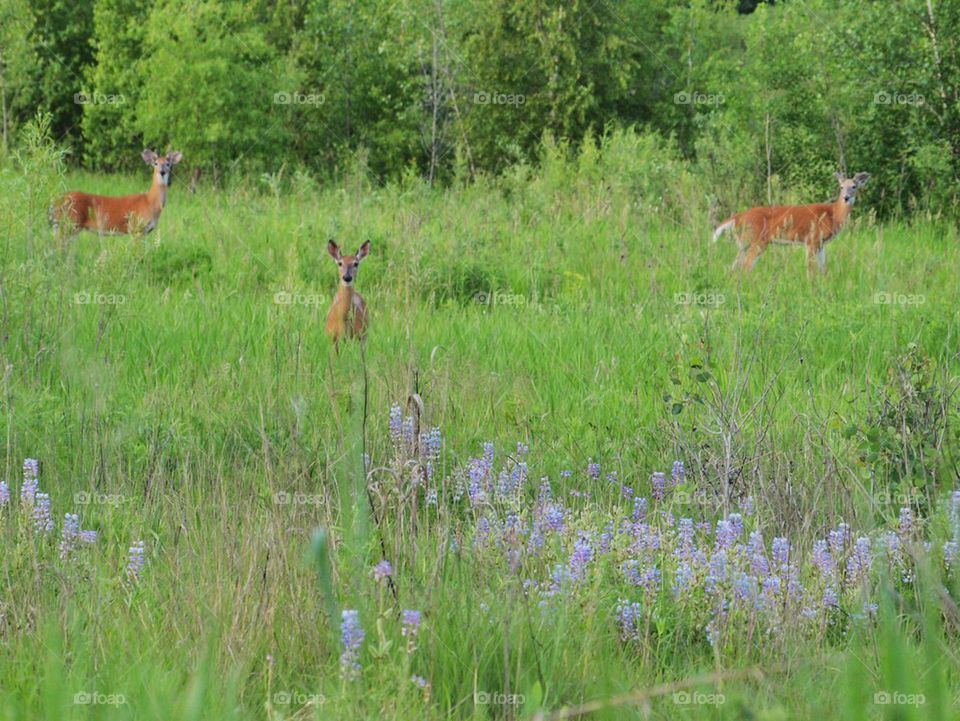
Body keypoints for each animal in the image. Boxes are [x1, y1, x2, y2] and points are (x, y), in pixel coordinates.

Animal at [50, 149, 183, 238]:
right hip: (69, 224)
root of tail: (55, 202)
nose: (162, 172)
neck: (150, 201)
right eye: (155, 163)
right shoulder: (136, 228)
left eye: (168, 164)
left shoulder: (145, 232)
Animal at [713, 171, 869, 275]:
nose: (846, 197)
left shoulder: (821, 244)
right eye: (841, 187)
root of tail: (739, 217)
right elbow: (811, 271)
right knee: (746, 267)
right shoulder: (811, 240)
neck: (833, 214)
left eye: (854, 186)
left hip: (744, 243)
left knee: (734, 267)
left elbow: (824, 269)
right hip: (757, 241)